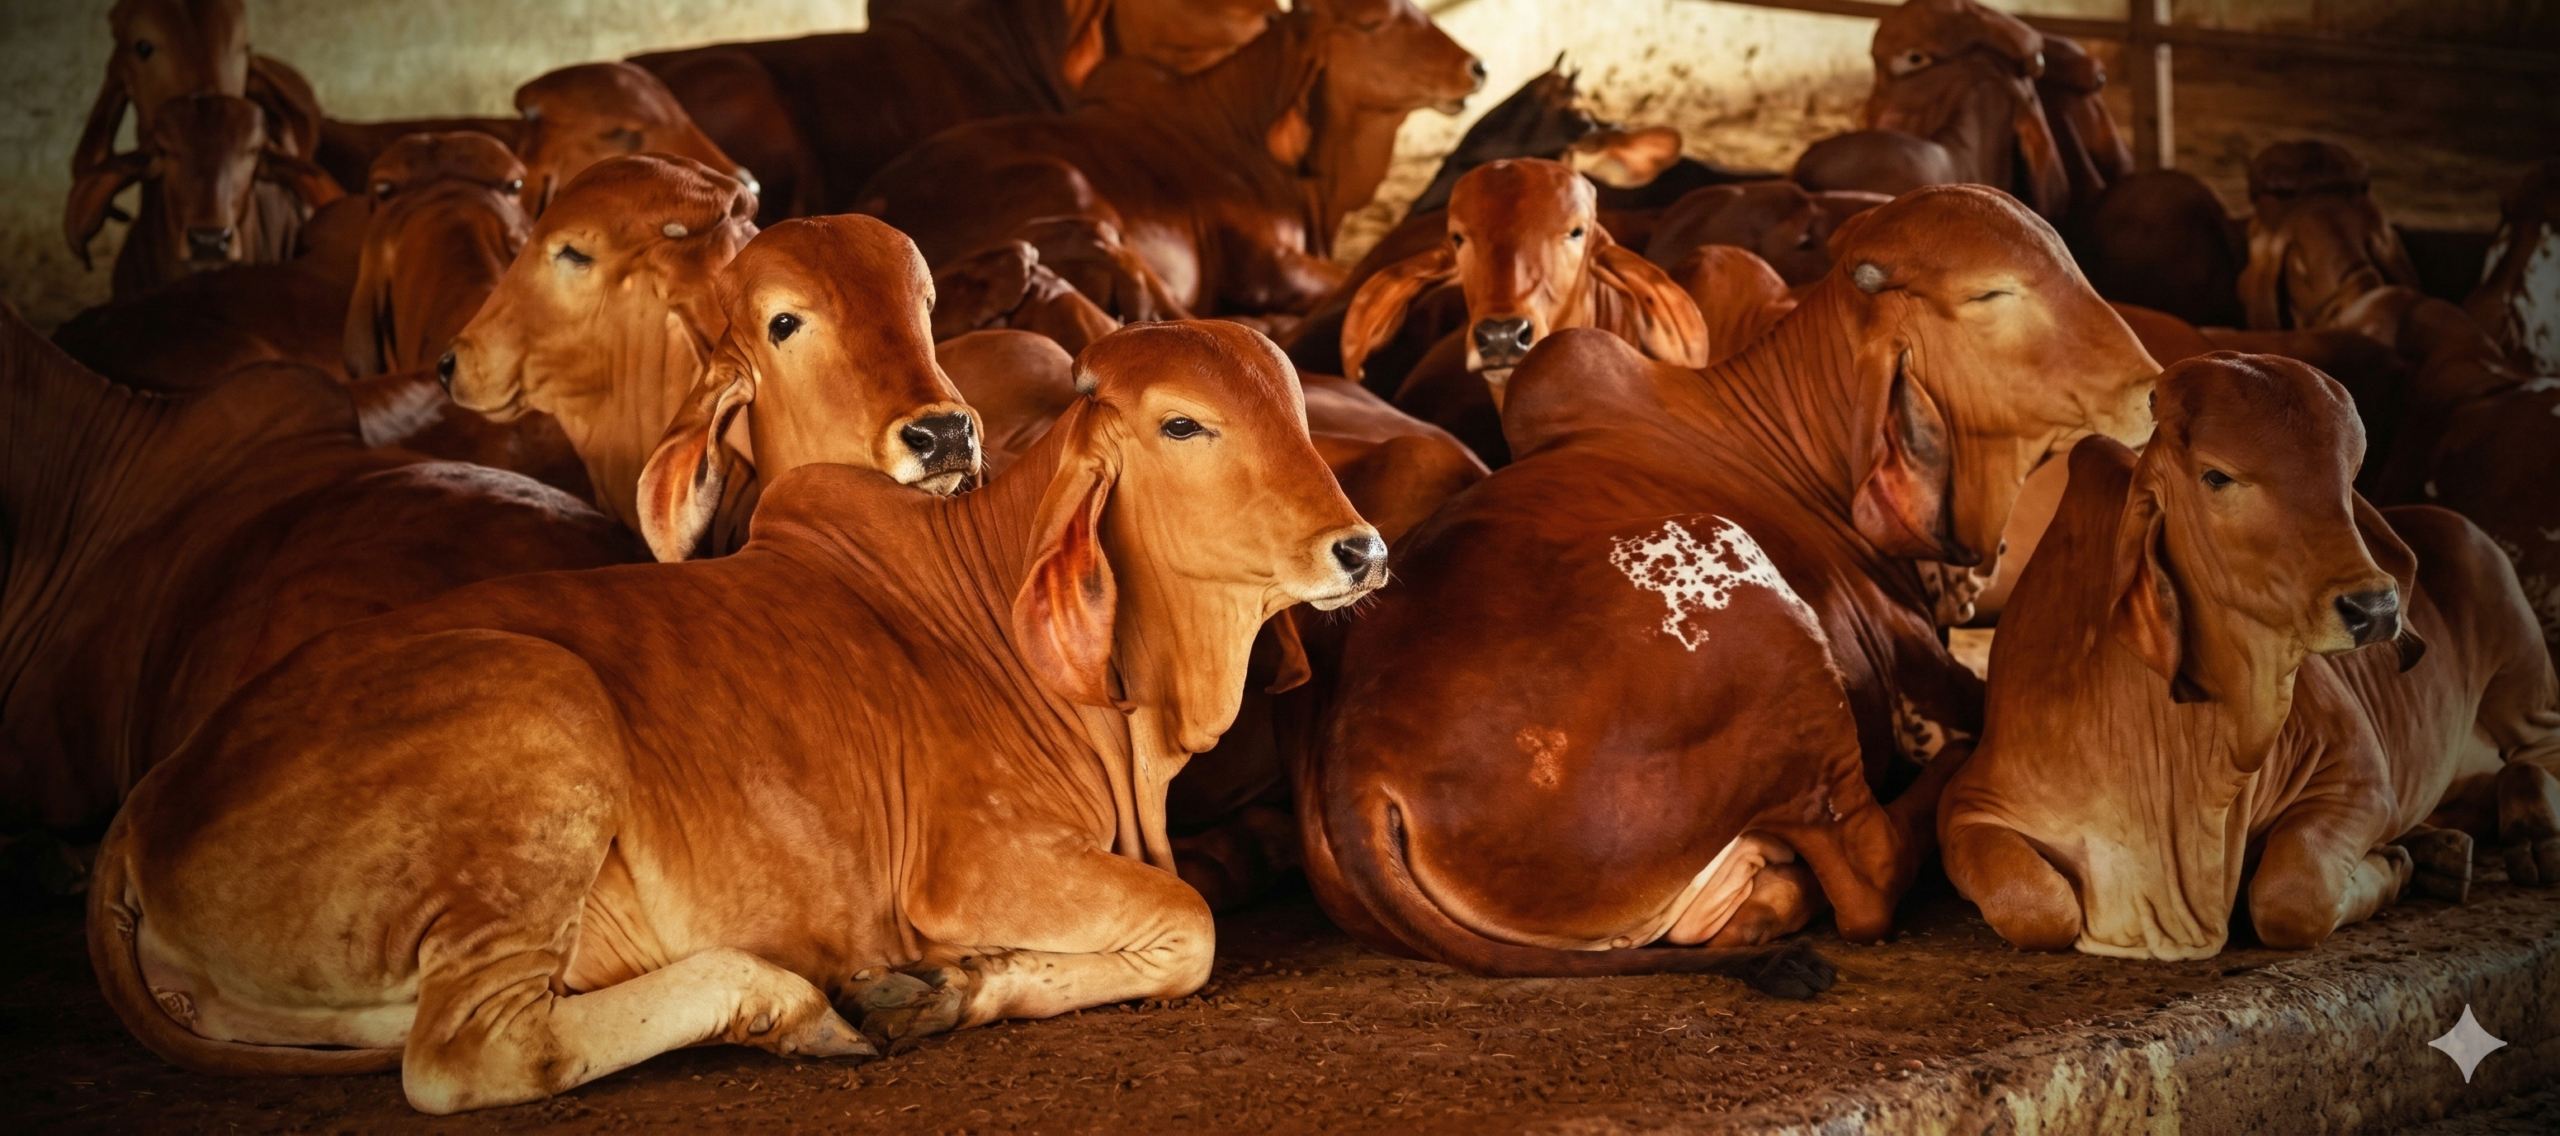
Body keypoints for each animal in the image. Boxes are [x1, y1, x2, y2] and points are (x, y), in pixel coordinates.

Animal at [87, 321, 1387, 1114]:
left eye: (1290, 404)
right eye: (1183, 424)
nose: (1361, 549)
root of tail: (145, 802)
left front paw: (950, 985)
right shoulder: (976, 864)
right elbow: (1190, 927)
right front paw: (930, 982)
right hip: (536, 718)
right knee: (471, 1051)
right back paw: (795, 1002)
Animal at [1300, 186, 2158, 984]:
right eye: (1991, 295)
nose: (2154, 390)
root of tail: (1359, 772)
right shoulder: (1928, 665)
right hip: (1768, 631)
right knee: (1871, 869)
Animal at [1938, 353, 2560, 960]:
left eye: (2349, 477)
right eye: (2217, 476)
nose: (2377, 607)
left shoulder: (2359, 777)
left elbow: (2291, 894)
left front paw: (2392, 866)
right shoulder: (1969, 806)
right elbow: (2038, 907)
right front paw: (2411, 858)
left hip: (2521, 673)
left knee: (2536, 755)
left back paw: (2533, 837)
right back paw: (2442, 850)